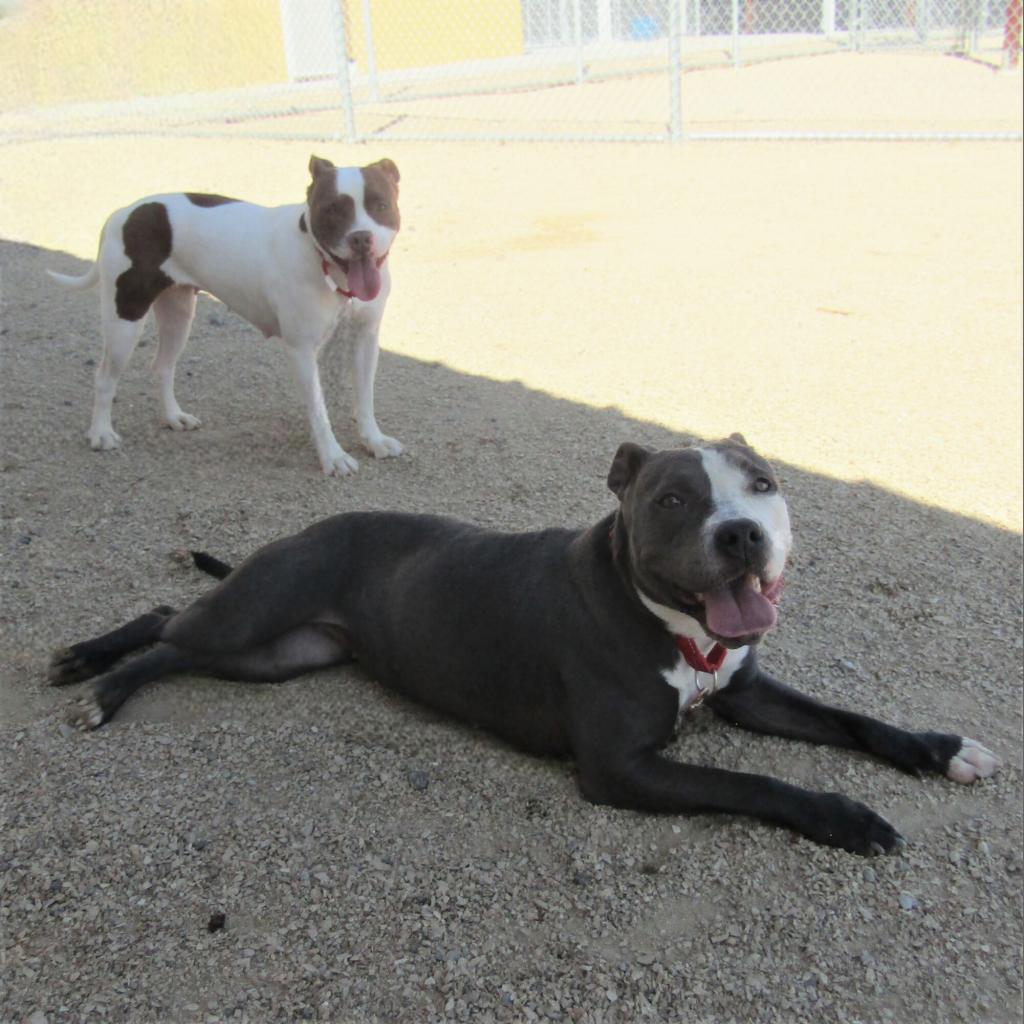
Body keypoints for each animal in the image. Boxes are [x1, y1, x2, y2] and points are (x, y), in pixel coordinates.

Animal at [48, 155, 401, 475]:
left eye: (380, 205)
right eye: (332, 209)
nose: (361, 237)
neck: (326, 266)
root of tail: (124, 212)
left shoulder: (365, 339)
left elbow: (365, 398)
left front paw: (373, 440)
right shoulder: (301, 349)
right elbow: (318, 410)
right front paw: (333, 457)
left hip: (178, 315)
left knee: (162, 366)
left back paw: (173, 417)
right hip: (125, 317)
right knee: (105, 378)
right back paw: (101, 433)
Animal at [49, 436, 999, 851]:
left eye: (762, 485)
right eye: (673, 500)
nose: (740, 535)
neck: (673, 629)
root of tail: (304, 529)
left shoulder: (744, 690)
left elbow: (852, 719)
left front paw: (940, 748)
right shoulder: (621, 768)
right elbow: (754, 783)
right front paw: (846, 817)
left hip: (278, 657)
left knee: (172, 628)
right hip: (253, 616)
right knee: (166, 629)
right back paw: (96, 681)